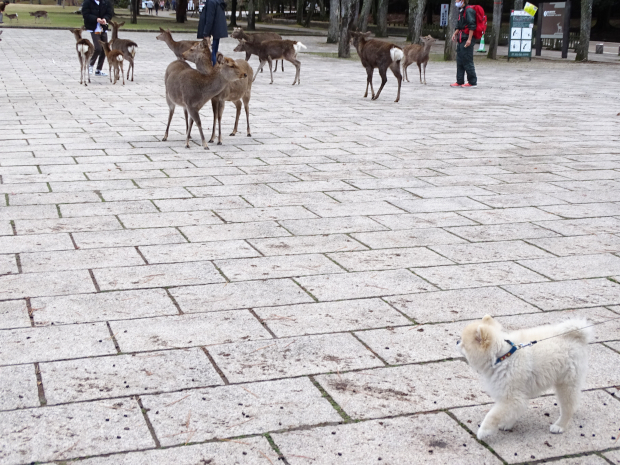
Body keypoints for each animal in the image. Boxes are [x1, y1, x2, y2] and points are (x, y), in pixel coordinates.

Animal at [456, 316, 592, 438]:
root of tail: (576, 337)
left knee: (568, 407)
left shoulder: (512, 396)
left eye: (463, 343)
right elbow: (510, 412)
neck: (502, 357)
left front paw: (484, 431)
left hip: (566, 383)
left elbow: (493, 415)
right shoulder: (510, 394)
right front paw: (506, 424)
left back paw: (559, 426)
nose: (457, 342)